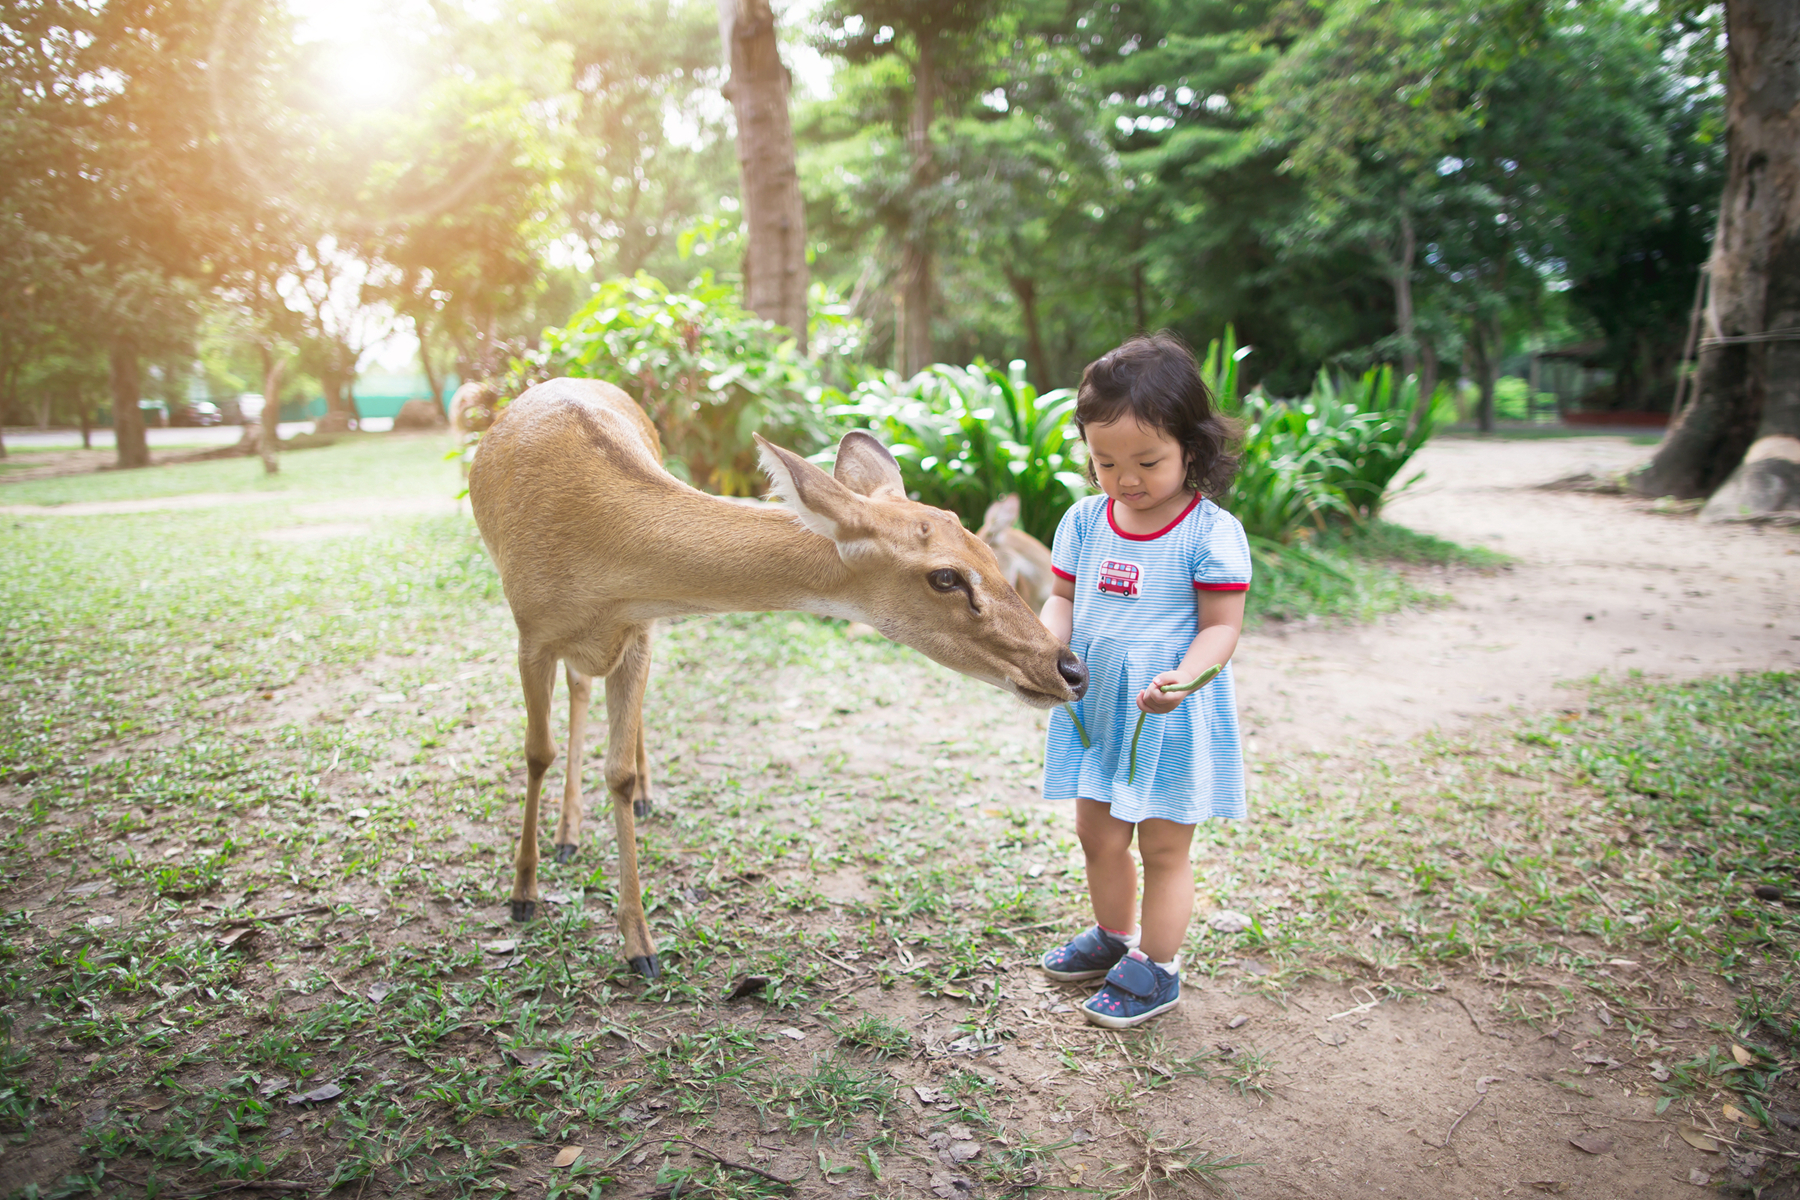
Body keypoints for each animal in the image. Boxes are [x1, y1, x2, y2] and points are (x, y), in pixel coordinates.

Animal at [468, 379, 1080, 978]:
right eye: (946, 577)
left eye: (989, 553)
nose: (1070, 669)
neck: (595, 553)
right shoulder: (530, 634)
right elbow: (537, 752)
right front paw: (523, 894)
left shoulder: (637, 631)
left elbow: (616, 771)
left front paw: (639, 943)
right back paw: (565, 838)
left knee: (591, 697)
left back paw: (614, 812)